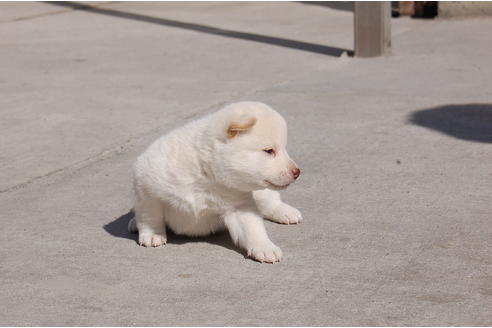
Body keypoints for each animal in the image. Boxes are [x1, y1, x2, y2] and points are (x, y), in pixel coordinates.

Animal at [129, 101, 302, 262]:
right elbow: (150, 216)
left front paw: (265, 247)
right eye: (269, 151)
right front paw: (153, 234)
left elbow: (253, 228)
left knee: (270, 201)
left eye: (283, 148)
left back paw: (286, 212)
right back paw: (133, 223)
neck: (206, 172)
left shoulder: (239, 205)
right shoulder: (146, 188)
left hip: (262, 192)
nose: (297, 172)